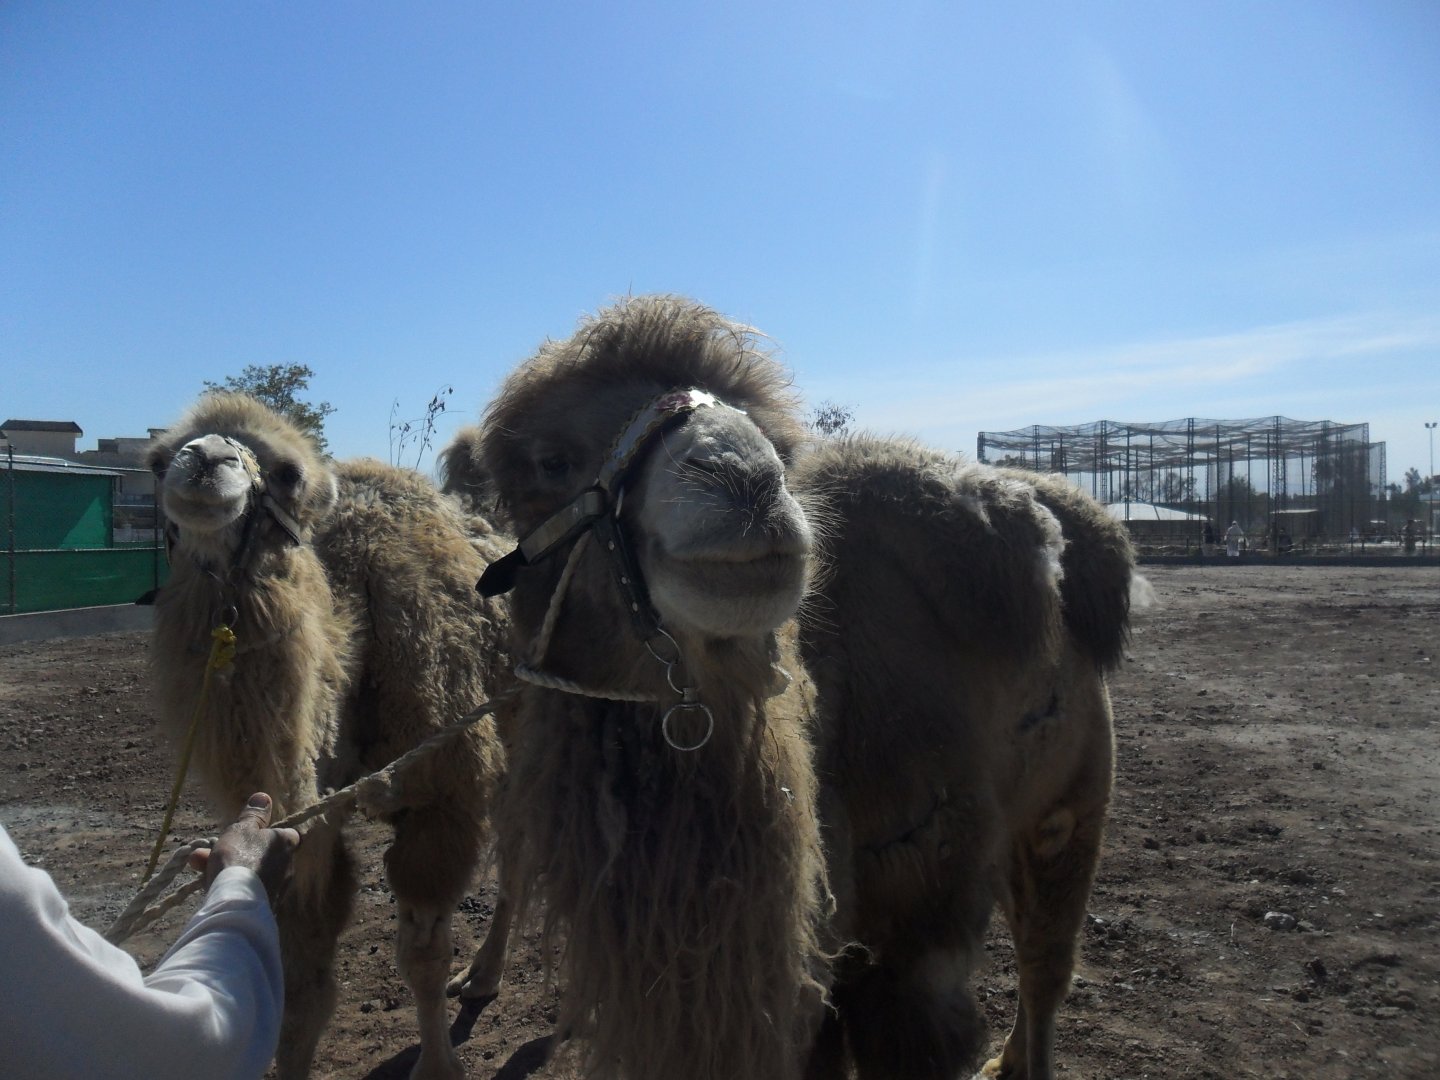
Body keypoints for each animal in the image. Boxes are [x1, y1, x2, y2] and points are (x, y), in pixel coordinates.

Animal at [145, 392, 510, 1080]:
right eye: (156, 460)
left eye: (287, 472)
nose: (204, 460)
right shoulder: (307, 820)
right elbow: (300, 980)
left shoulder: (444, 795)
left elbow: (422, 955)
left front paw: (439, 1065)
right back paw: (481, 977)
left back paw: (483, 978)